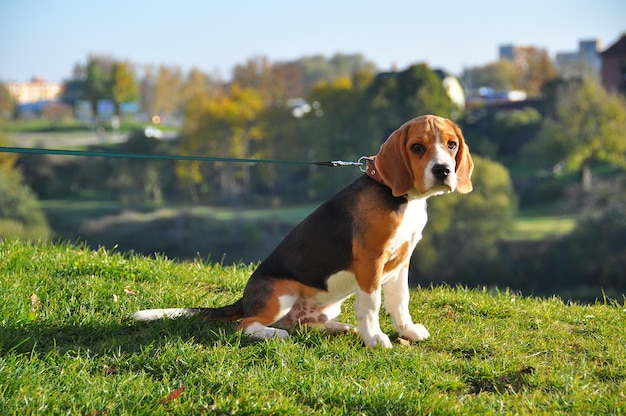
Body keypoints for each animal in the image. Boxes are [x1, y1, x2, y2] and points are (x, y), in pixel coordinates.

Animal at [133, 114, 472, 348]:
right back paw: (274, 334)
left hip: (325, 306)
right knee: (247, 326)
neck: (402, 197)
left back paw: (340, 328)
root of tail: (245, 299)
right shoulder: (371, 261)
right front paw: (375, 338)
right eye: (416, 147)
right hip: (281, 293)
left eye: (451, 145)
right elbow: (371, 304)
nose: (443, 170)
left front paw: (408, 332)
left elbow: (400, 302)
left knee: (305, 324)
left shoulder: (401, 262)